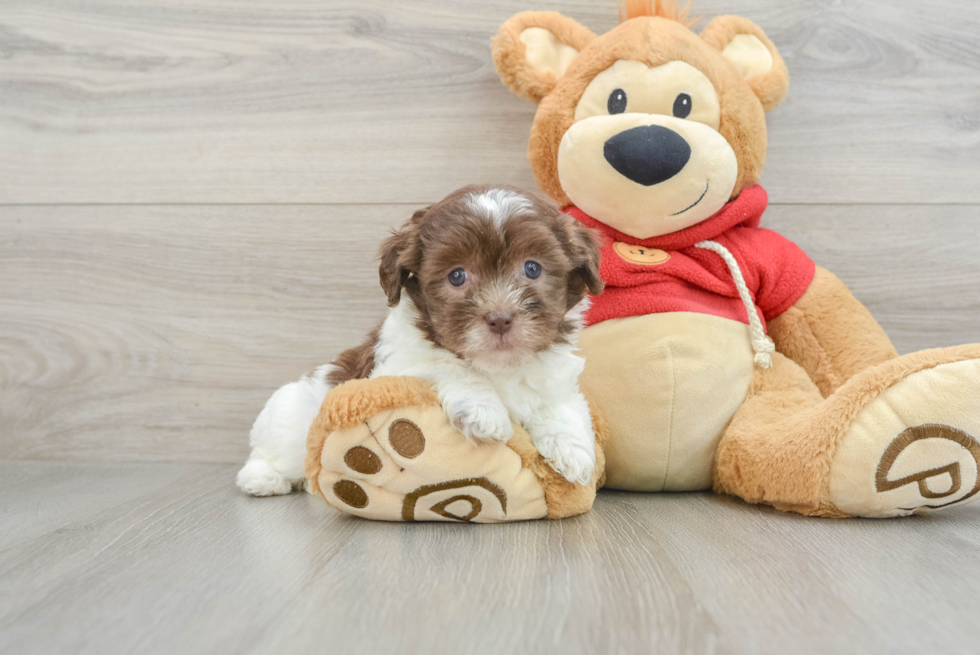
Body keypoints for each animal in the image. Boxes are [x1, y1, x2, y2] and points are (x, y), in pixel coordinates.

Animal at [237, 184, 604, 498]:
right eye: (457, 276)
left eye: (532, 269)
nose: (500, 318)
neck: (498, 365)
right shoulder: (394, 366)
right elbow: (445, 365)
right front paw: (484, 413)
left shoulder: (555, 378)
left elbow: (562, 407)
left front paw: (573, 452)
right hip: (288, 415)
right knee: (273, 449)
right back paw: (262, 478)